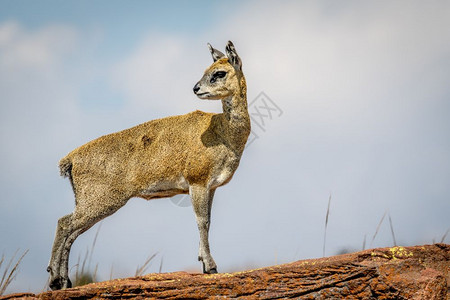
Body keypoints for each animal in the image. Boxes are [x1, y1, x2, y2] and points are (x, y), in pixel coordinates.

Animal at [47, 41, 251, 290]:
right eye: (207, 70)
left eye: (219, 72)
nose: (196, 88)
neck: (224, 133)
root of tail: (70, 159)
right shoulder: (198, 181)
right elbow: (202, 221)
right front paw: (211, 266)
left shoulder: (210, 187)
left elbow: (208, 221)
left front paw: (204, 263)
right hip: (99, 201)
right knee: (64, 223)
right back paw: (55, 280)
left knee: (70, 232)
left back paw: (64, 281)